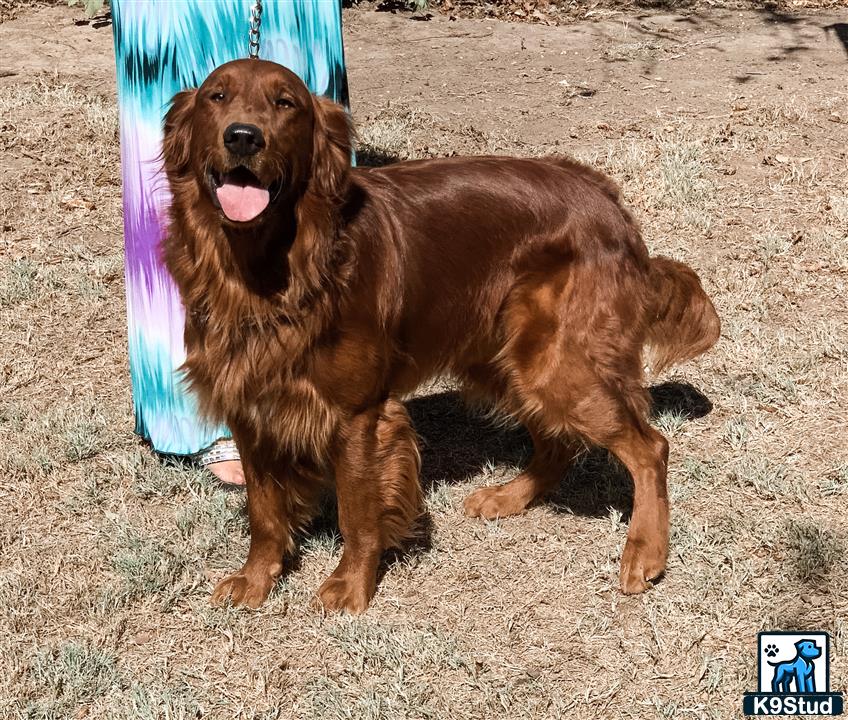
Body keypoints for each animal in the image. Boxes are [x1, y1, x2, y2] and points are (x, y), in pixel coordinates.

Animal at [162, 59, 720, 616]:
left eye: (286, 103)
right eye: (216, 96)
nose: (243, 137)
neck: (269, 269)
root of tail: (609, 200)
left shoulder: (359, 414)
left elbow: (357, 512)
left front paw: (350, 585)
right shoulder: (249, 405)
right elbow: (264, 509)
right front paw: (256, 578)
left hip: (555, 362)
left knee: (650, 447)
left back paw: (645, 552)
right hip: (509, 360)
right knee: (557, 441)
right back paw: (509, 497)